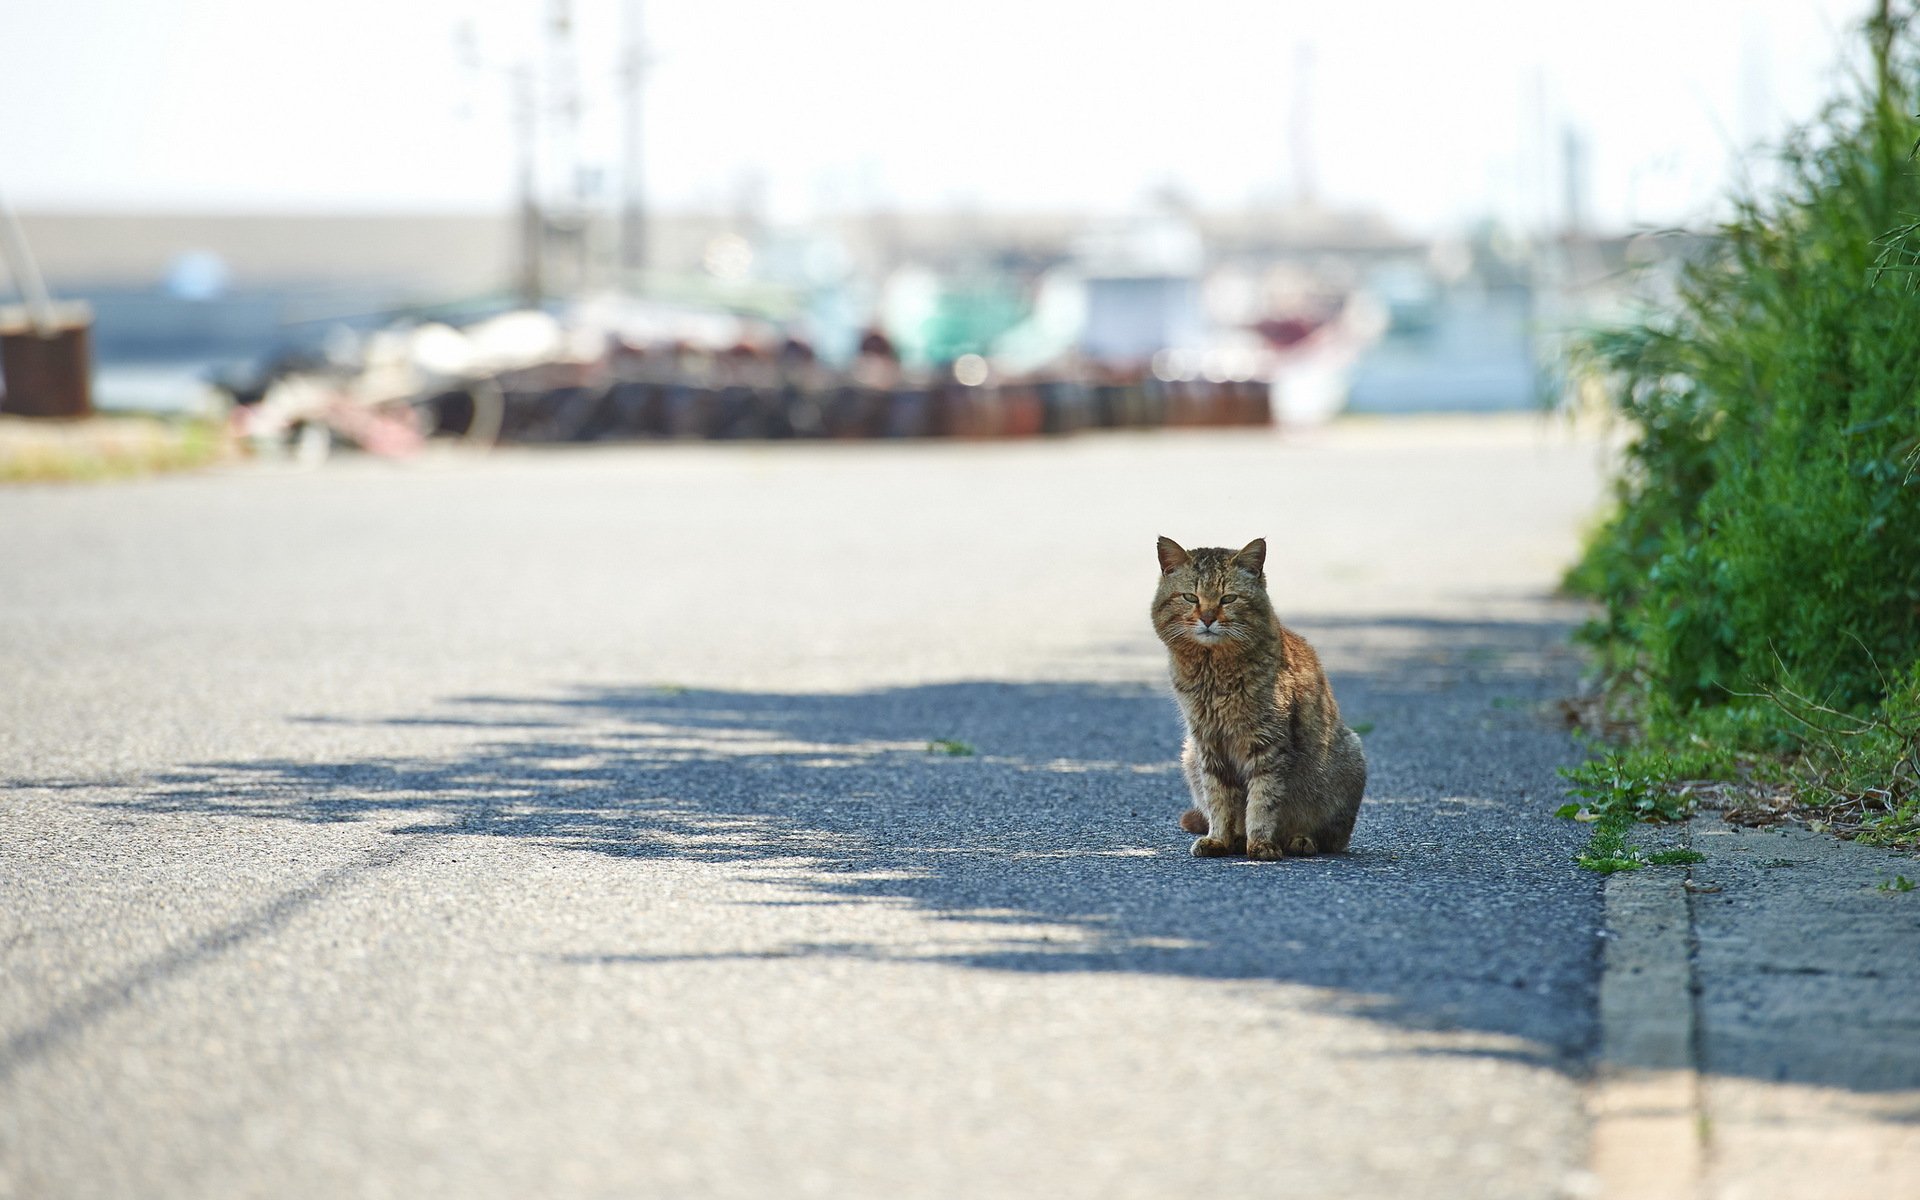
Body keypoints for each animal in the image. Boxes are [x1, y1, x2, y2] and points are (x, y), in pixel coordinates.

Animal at [1144, 537, 1374, 856]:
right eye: (1190, 597)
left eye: (1228, 599)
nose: (1207, 618)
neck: (1213, 670)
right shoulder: (1208, 743)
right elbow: (1219, 799)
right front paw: (1220, 838)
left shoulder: (1268, 743)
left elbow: (1263, 800)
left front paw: (1261, 843)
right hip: (1189, 754)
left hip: (1349, 759)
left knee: (1330, 838)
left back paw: (1300, 840)